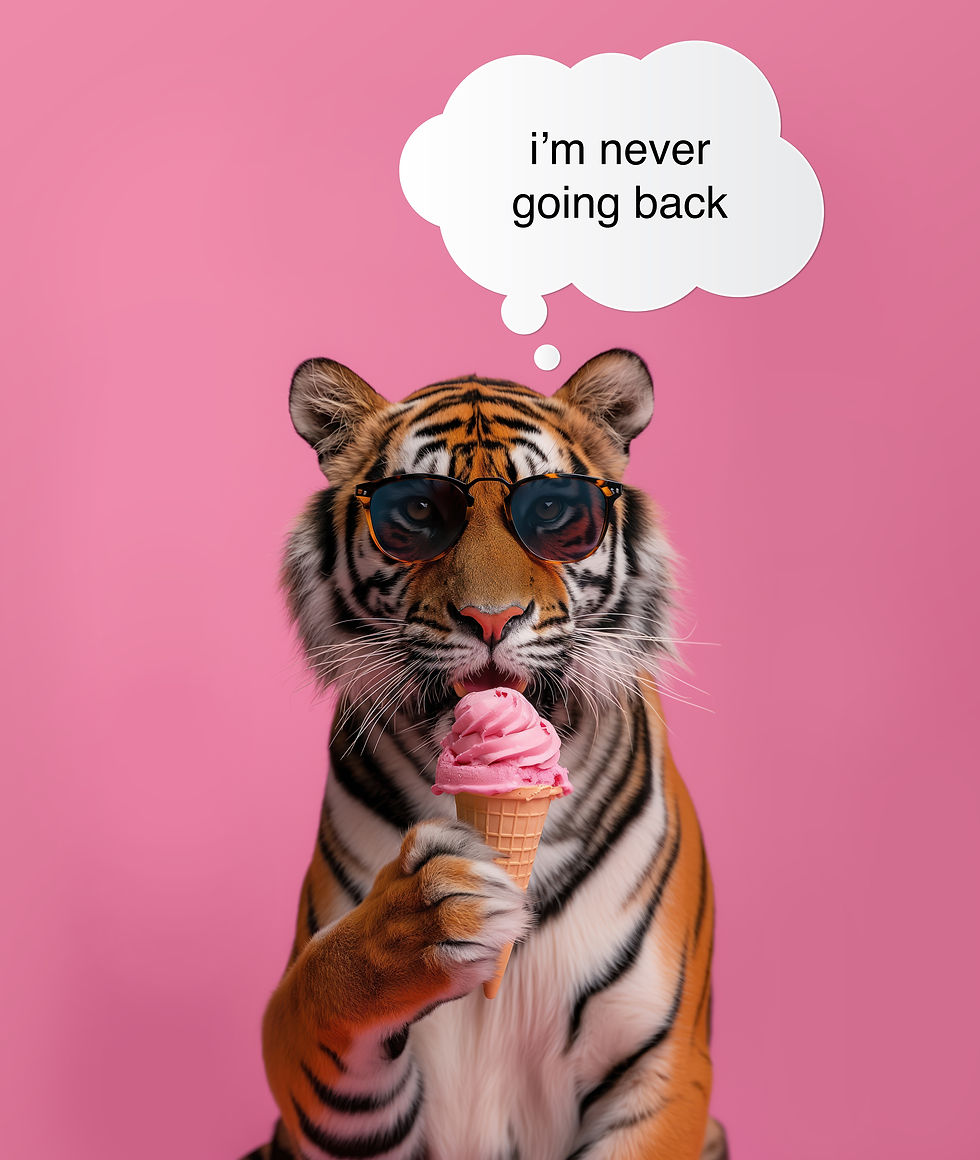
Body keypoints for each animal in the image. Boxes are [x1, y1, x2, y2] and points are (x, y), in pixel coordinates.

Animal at [243, 349, 729, 1160]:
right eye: (417, 513)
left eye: (555, 513)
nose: (491, 618)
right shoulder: (314, 1075)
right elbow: (326, 981)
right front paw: (428, 915)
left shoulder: (661, 1063)